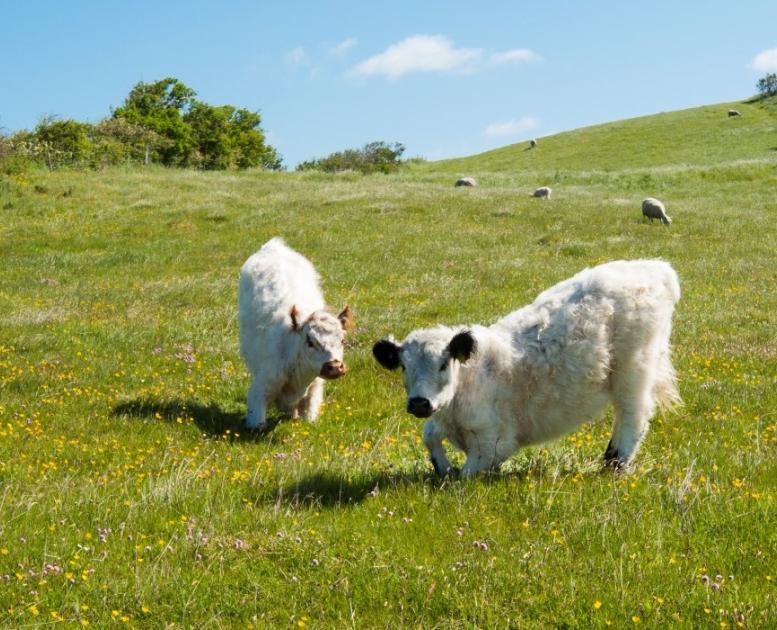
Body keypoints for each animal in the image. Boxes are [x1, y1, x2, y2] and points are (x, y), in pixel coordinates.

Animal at [238, 239, 354, 432]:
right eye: (310, 341)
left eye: (343, 341)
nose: (335, 366)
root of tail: (273, 246)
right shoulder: (260, 390)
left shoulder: (315, 391)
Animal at [372, 262, 684, 478]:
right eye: (403, 366)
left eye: (443, 364)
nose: (419, 403)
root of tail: (656, 268)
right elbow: (429, 434)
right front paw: (442, 467)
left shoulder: (493, 443)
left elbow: (466, 475)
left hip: (633, 372)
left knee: (634, 416)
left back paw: (614, 464)